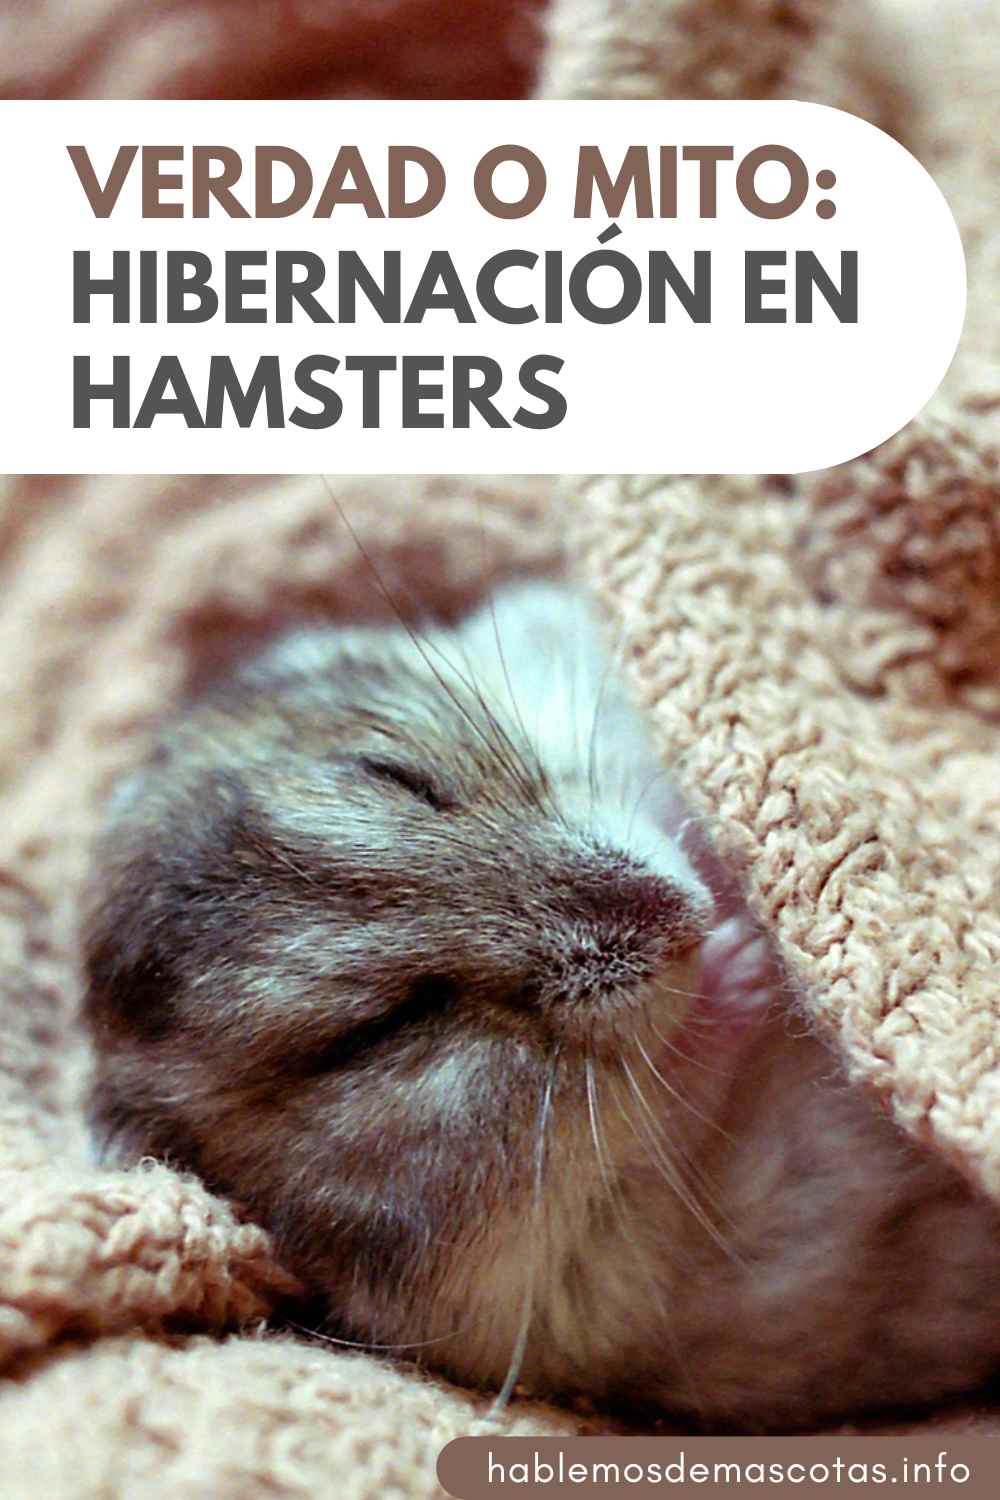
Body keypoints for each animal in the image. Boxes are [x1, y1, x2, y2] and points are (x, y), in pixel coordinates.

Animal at [81, 580, 1000, 1431]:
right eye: (386, 1029)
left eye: (398, 778)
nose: (687, 916)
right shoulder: (555, 1295)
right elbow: (666, 1118)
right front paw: (741, 964)